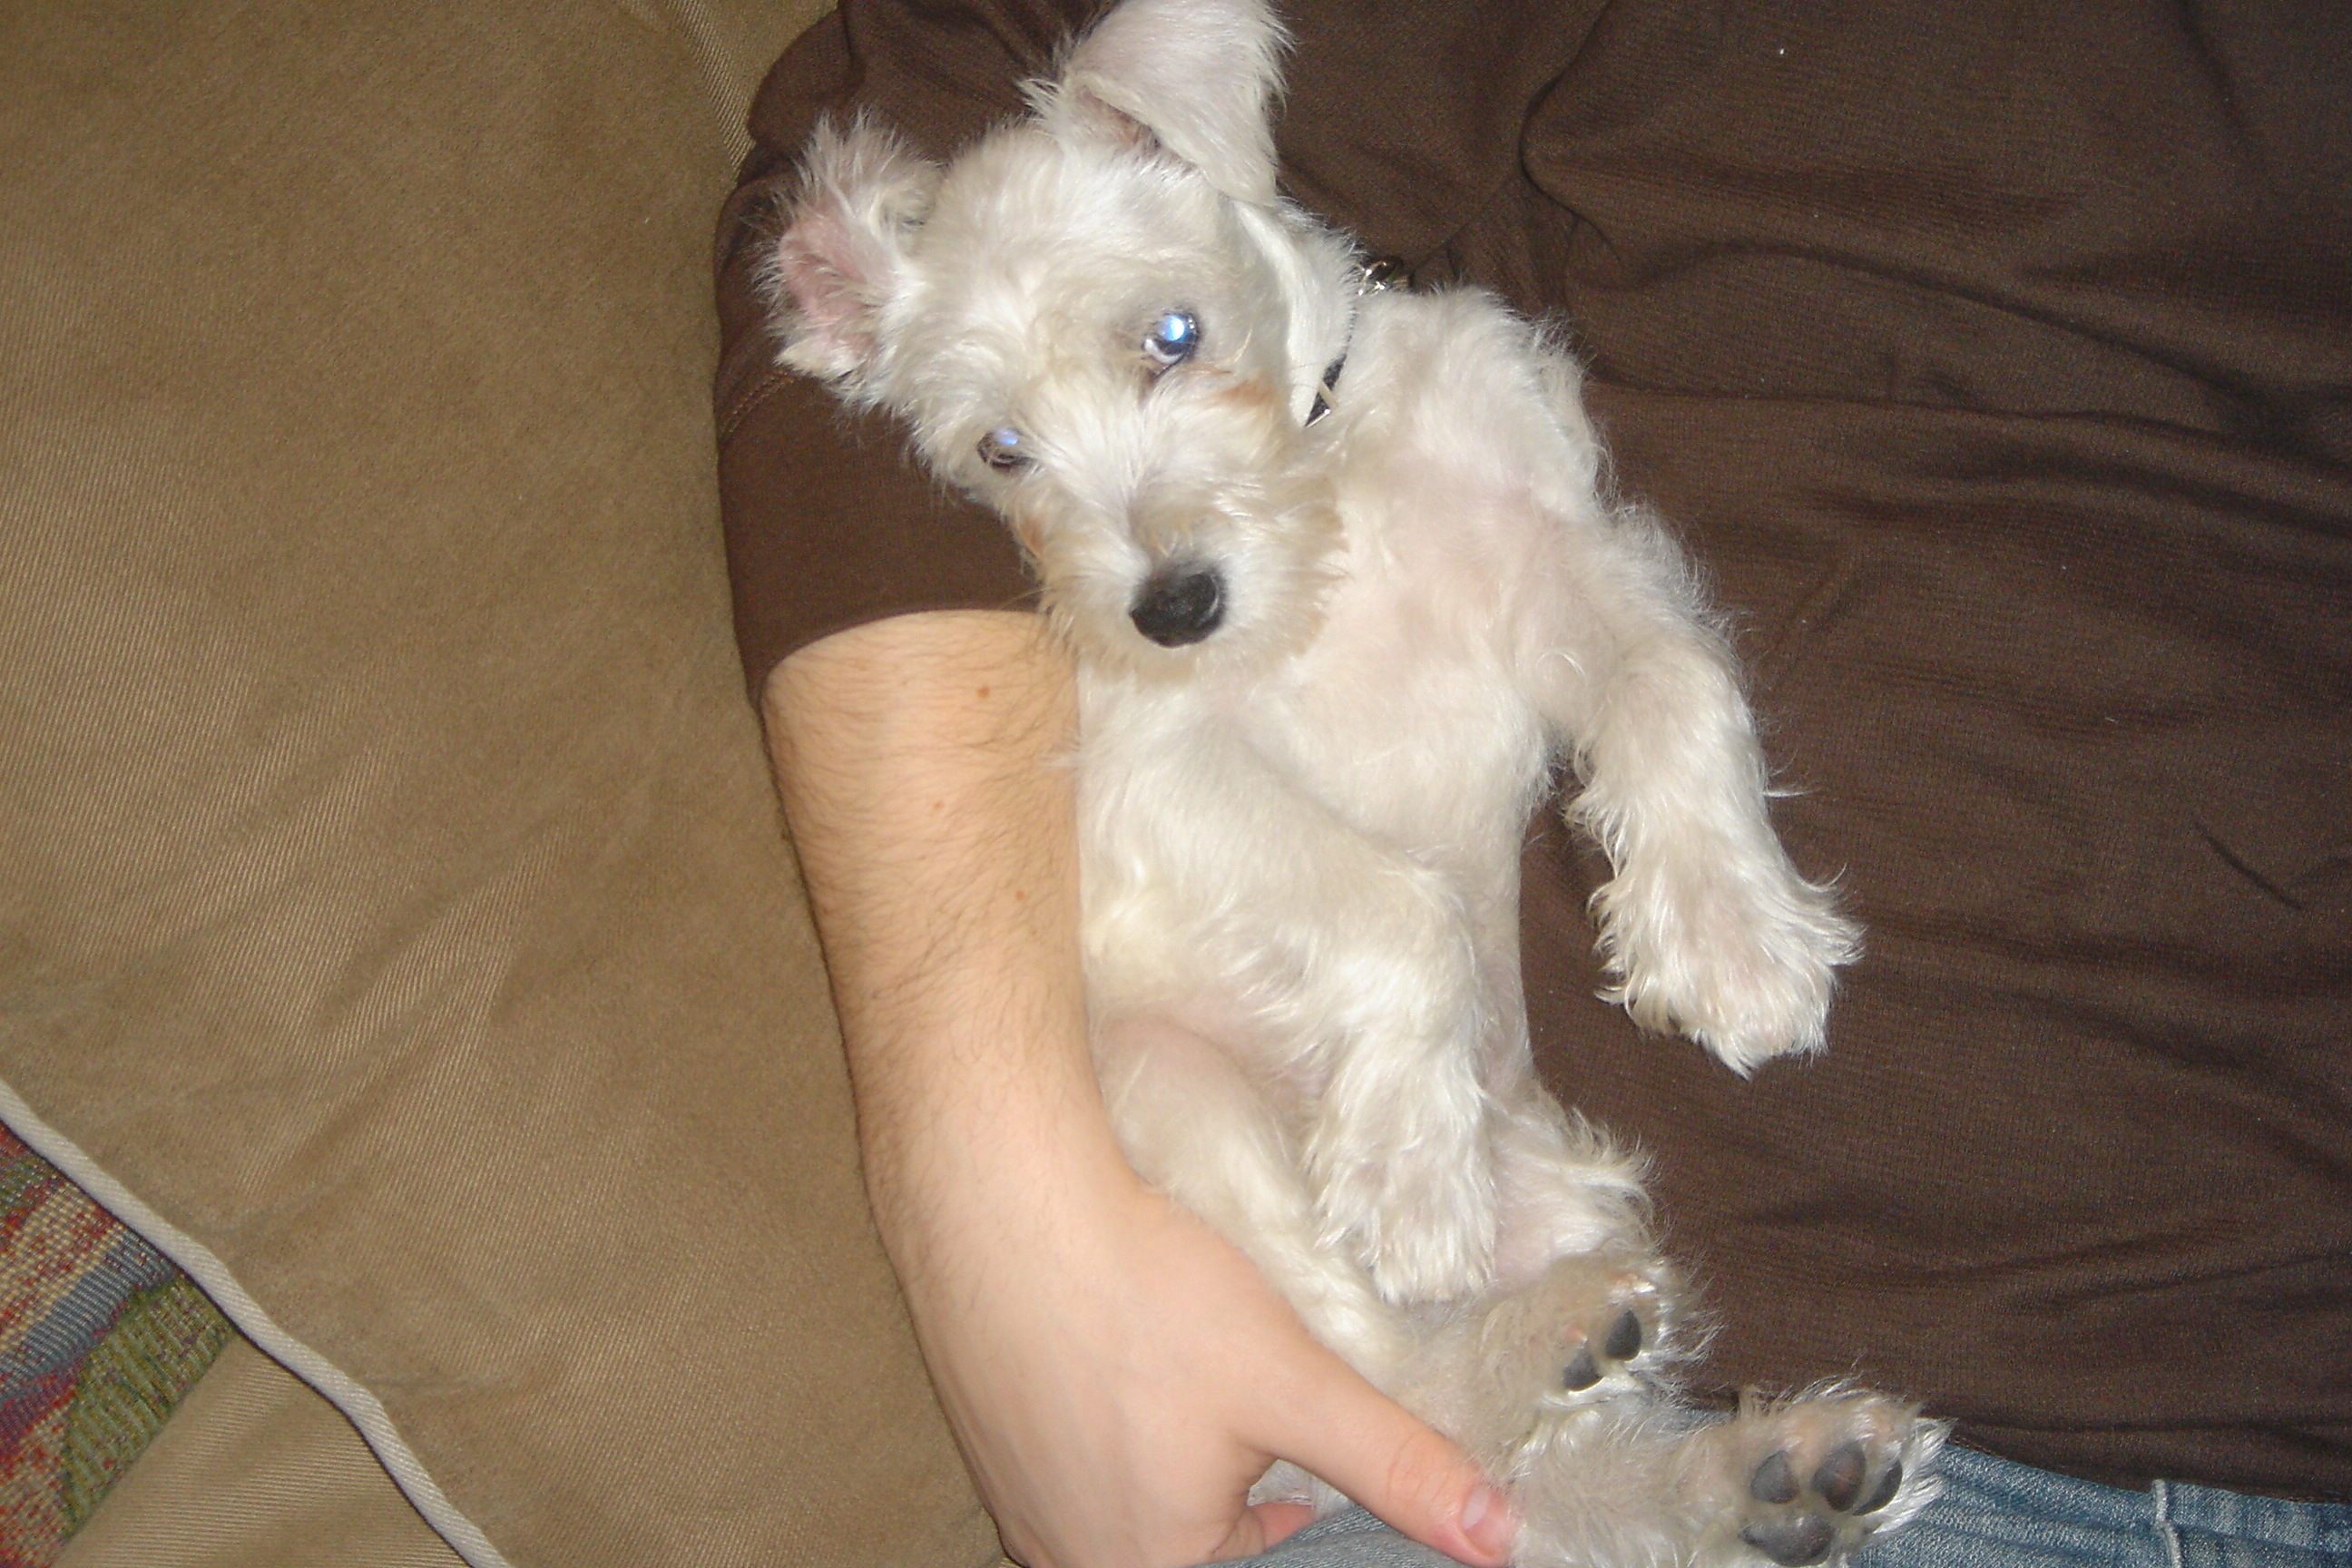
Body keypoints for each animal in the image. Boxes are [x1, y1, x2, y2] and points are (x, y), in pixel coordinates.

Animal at [762, 0, 1946, 1561]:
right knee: (1408, 1387)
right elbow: (1394, 900)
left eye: (1174, 335)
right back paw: (1544, 1335)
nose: (1172, 609)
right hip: (1182, 1106)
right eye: (1001, 451)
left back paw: (1772, 1477)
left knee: (1550, 1488)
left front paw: (1734, 940)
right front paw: (1407, 1167)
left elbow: (1673, 688)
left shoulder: (1552, 567)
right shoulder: (1166, 766)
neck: (1326, 495)